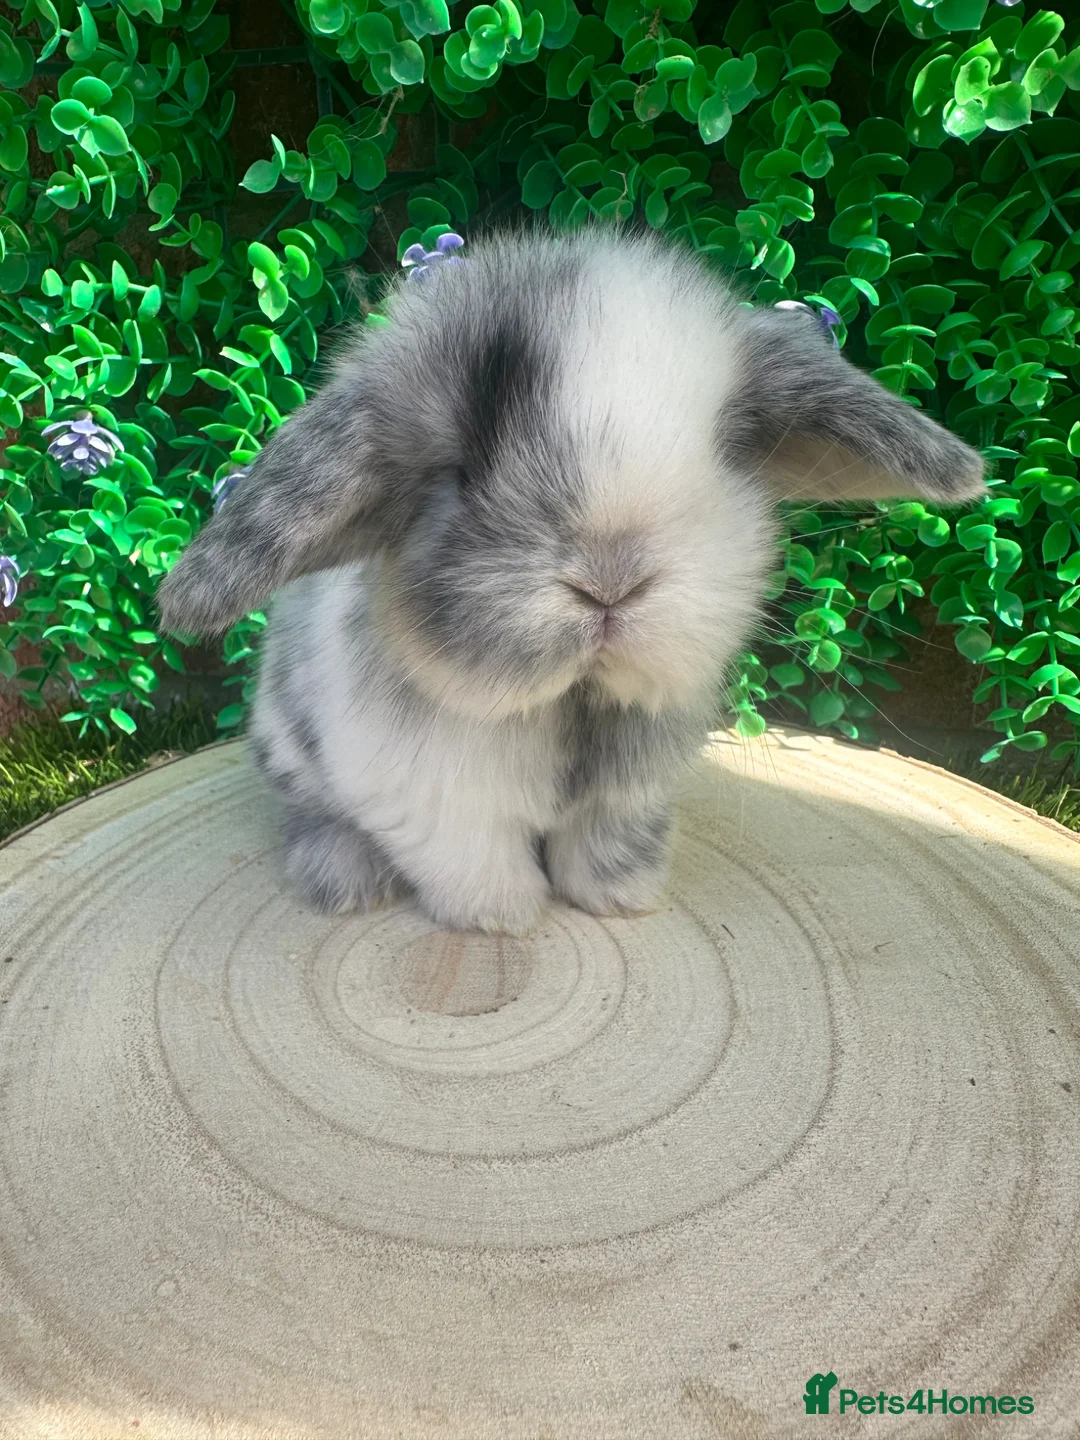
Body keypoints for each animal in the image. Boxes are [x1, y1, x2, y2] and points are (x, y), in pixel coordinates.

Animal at [158, 226, 987, 935]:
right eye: (460, 472)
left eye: (726, 452)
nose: (610, 581)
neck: (572, 701)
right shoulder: (428, 797)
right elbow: (473, 860)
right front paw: (505, 919)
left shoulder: (631, 791)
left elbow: (610, 844)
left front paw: (620, 901)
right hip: (288, 750)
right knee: (313, 815)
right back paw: (347, 881)